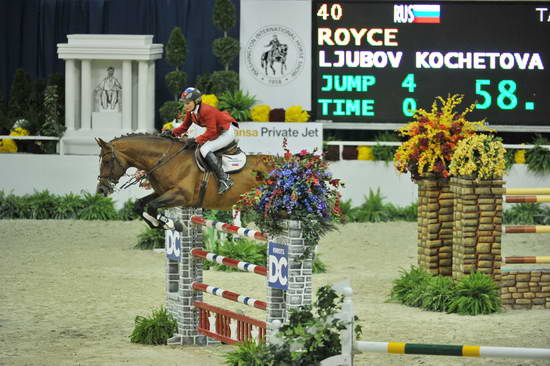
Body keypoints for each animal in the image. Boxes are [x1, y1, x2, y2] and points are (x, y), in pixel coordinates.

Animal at [97, 134, 274, 230]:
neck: (167, 160)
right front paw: (158, 224)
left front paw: (170, 224)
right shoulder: (162, 192)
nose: (101, 190)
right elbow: (140, 205)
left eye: (106, 161)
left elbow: (153, 207)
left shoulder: (181, 196)